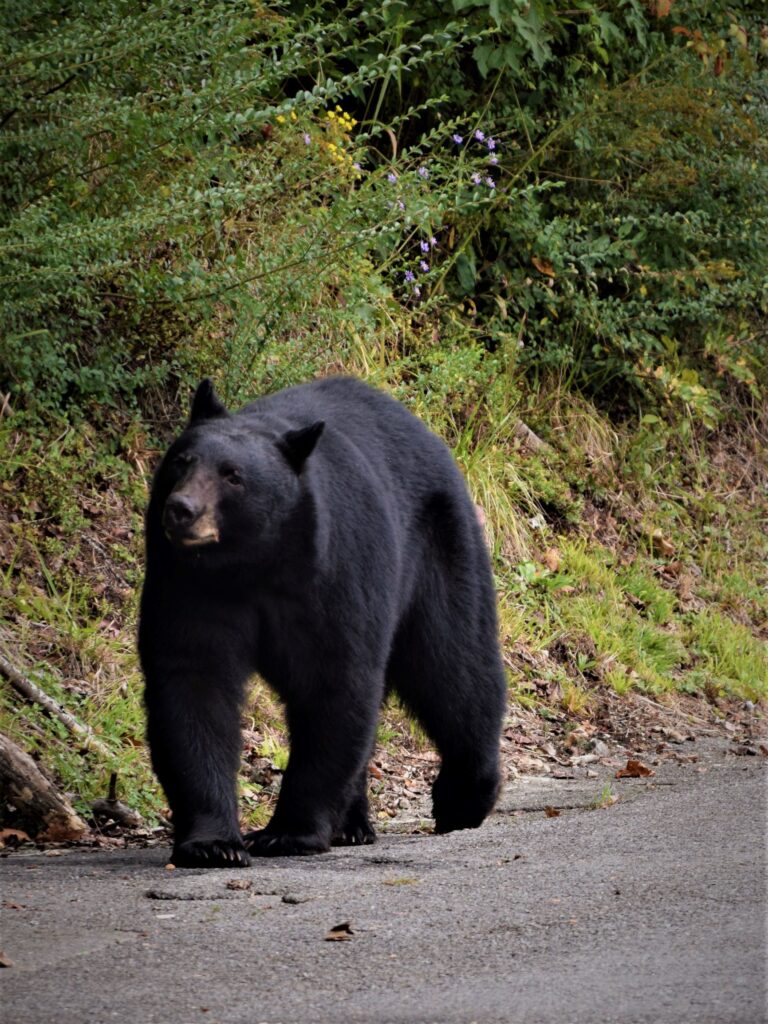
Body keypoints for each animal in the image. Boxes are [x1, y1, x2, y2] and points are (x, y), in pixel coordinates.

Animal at [140, 372, 507, 868]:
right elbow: (193, 682)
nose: (181, 509)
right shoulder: (187, 584)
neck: (251, 563)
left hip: (441, 551)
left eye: (233, 476)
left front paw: (287, 833)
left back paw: (462, 799)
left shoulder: (334, 574)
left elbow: (336, 680)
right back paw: (353, 824)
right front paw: (213, 843)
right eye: (181, 462)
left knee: (455, 664)